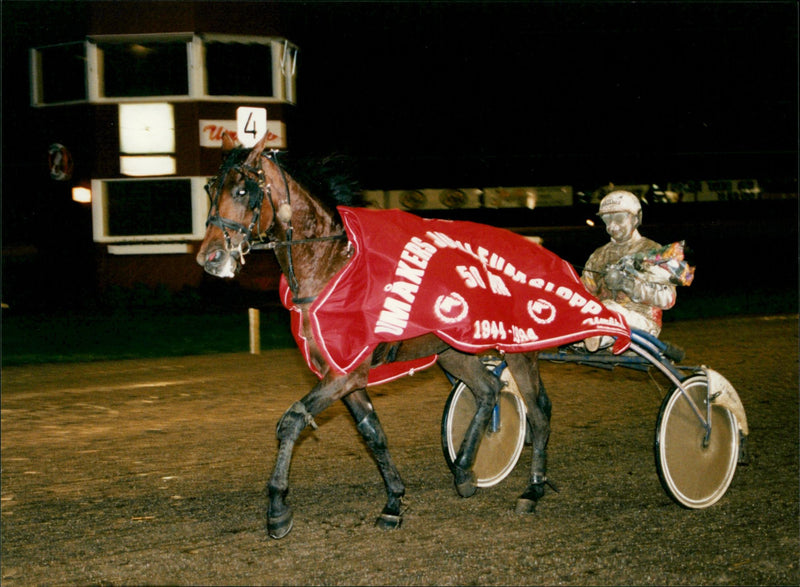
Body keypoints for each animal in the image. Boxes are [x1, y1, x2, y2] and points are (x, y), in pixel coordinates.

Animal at [197, 134, 552, 544]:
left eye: (242, 190)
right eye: (210, 190)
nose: (210, 257)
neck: (332, 267)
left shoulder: (346, 373)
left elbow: (292, 420)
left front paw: (277, 509)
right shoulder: (343, 375)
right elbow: (373, 434)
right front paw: (394, 501)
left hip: (521, 351)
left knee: (537, 411)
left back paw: (532, 489)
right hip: (453, 351)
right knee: (489, 391)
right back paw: (464, 471)